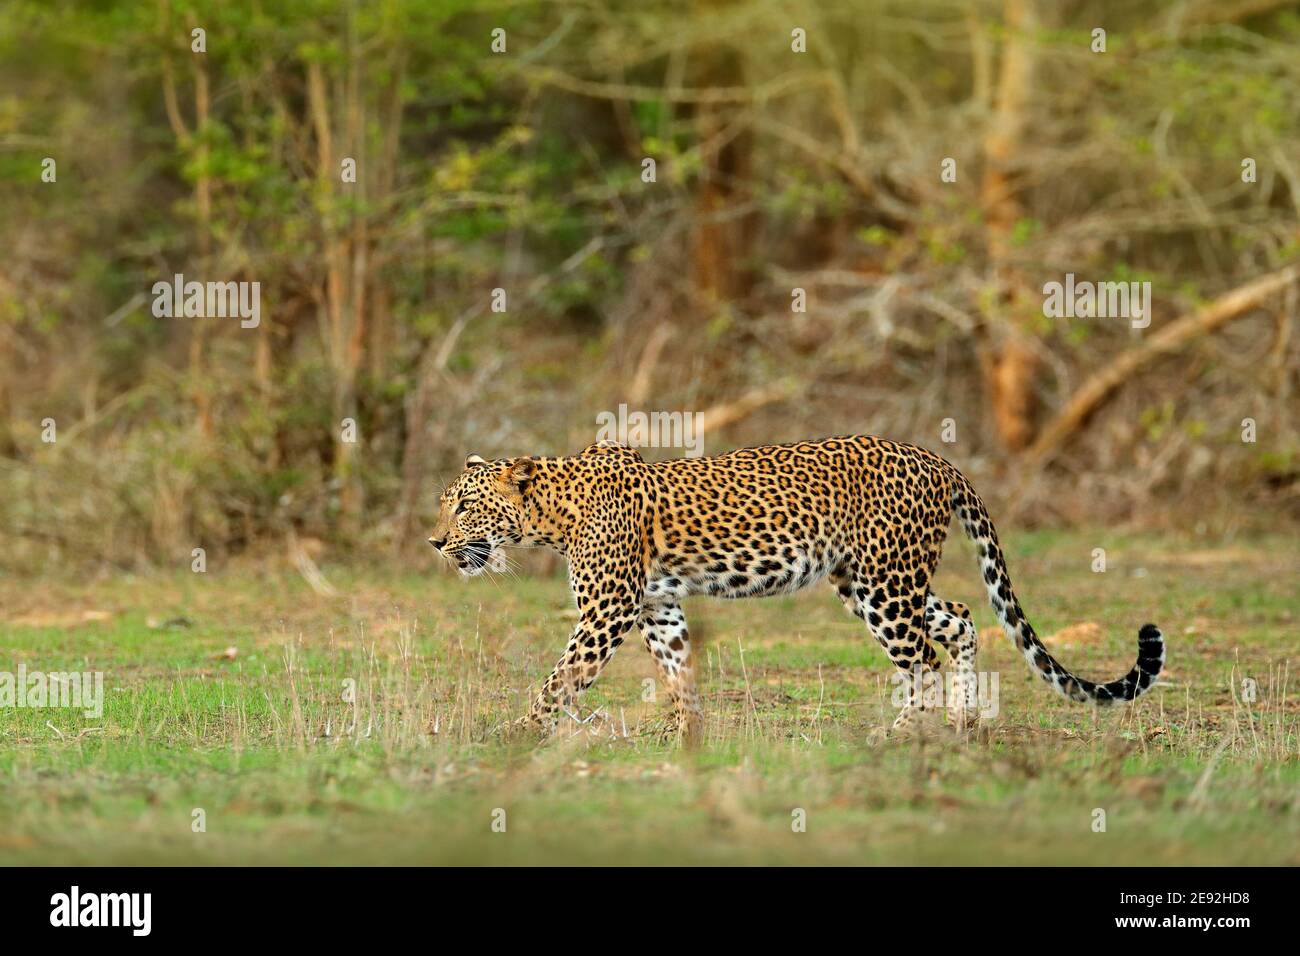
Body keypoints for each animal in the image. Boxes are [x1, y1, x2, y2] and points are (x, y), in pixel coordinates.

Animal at [428, 437, 1170, 743]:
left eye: (464, 506)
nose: (434, 542)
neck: (549, 517)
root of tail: (939, 458)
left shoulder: (607, 610)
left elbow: (558, 679)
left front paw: (515, 733)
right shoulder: (657, 606)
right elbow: (676, 670)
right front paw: (686, 732)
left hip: (887, 582)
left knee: (921, 657)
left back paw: (906, 731)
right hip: (872, 580)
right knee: (959, 618)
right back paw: (962, 723)